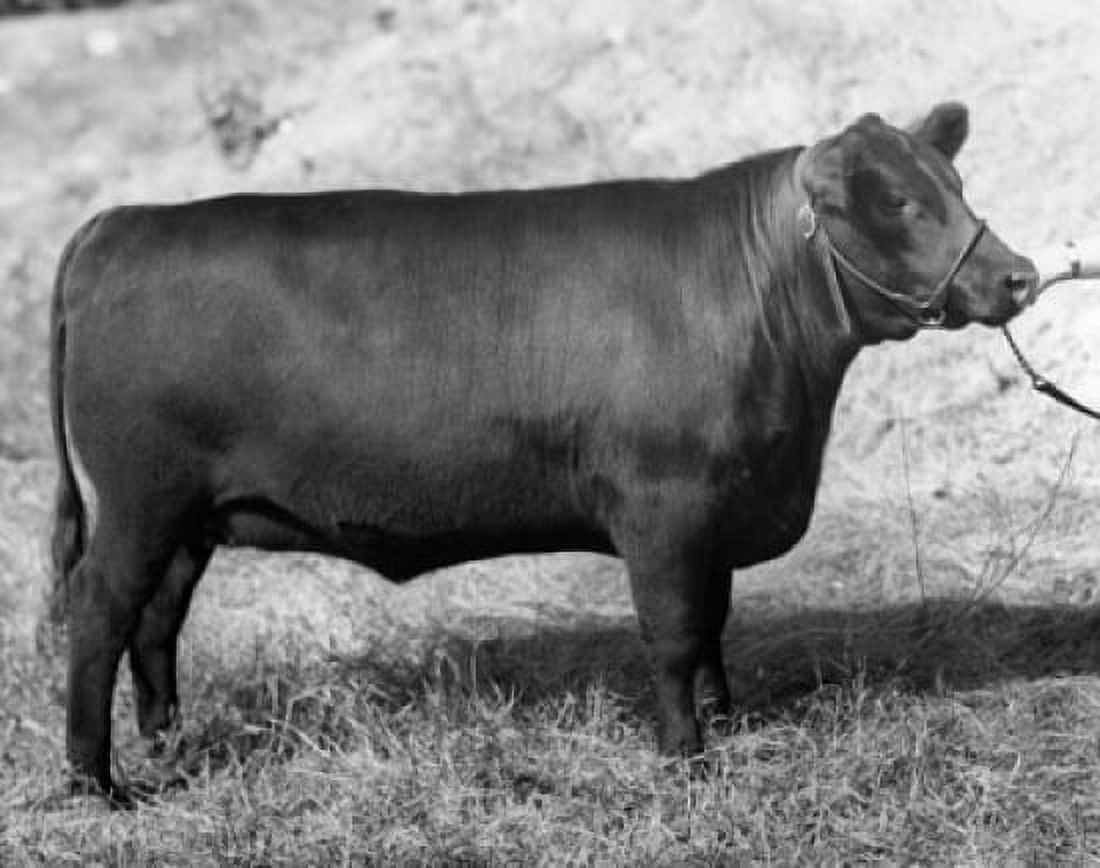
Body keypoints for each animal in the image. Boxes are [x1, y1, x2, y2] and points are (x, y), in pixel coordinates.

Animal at [47, 102, 1039, 806]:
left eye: (955, 182)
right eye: (897, 201)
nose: (1019, 275)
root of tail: (118, 224)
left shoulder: (715, 511)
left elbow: (715, 621)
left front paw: (727, 719)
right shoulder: (663, 508)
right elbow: (676, 633)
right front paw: (687, 758)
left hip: (189, 516)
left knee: (156, 620)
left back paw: (167, 743)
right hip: (140, 497)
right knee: (98, 610)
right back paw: (97, 782)